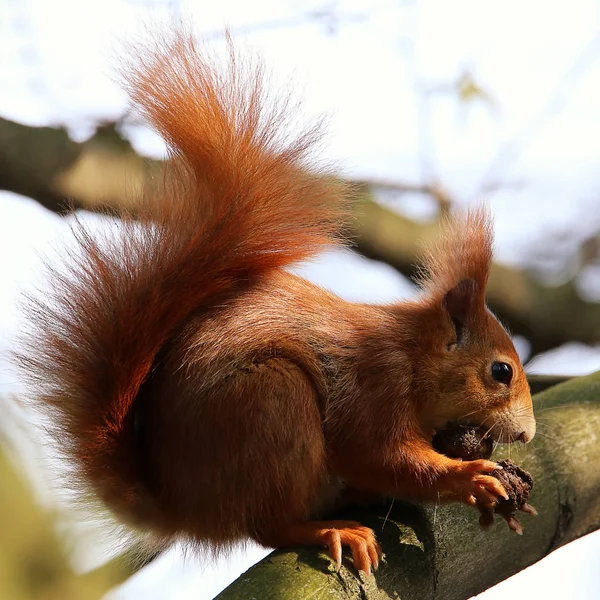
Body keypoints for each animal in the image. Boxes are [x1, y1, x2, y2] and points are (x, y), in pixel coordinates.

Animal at [17, 30, 536, 576]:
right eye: (501, 371)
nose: (527, 435)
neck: (412, 354)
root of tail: (185, 506)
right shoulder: (374, 386)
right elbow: (380, 455)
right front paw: (469, 476)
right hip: (272, 401)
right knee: (269, 525)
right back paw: (328, 528)